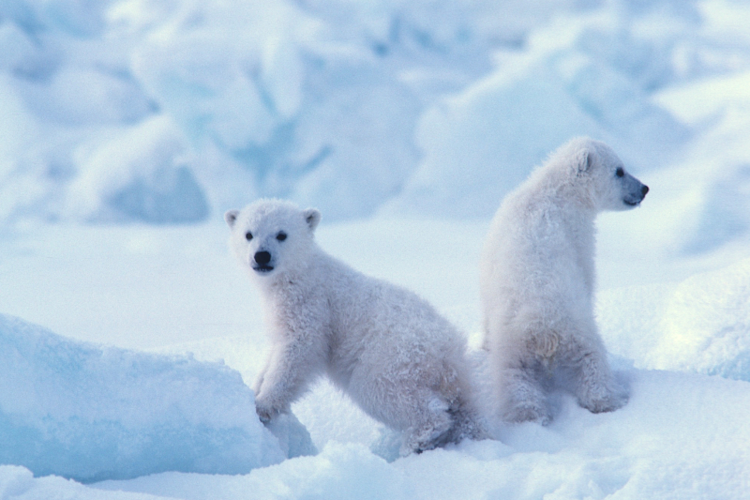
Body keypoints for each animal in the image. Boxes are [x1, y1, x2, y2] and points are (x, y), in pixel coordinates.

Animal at [225, 198, 485, 455]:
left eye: (281, 234)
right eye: (248, 234)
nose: (261, 256)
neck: (297, 275)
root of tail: (449, 353)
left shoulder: (312, 306)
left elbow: (299, 351)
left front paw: (263, 406)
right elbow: (273, 353)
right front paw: (254, 390)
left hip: (390, 357)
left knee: (384, 392)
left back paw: (416, 441)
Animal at [479, 137, 648, 424]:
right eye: (619, 170)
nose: (645, 188)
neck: (552, 192)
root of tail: (545, 331)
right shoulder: (579, 238)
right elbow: (588, 276)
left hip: (521, 343)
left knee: (517, 377)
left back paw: (533, 414)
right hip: (571, 333)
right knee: (591, 365)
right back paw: (609, 401)